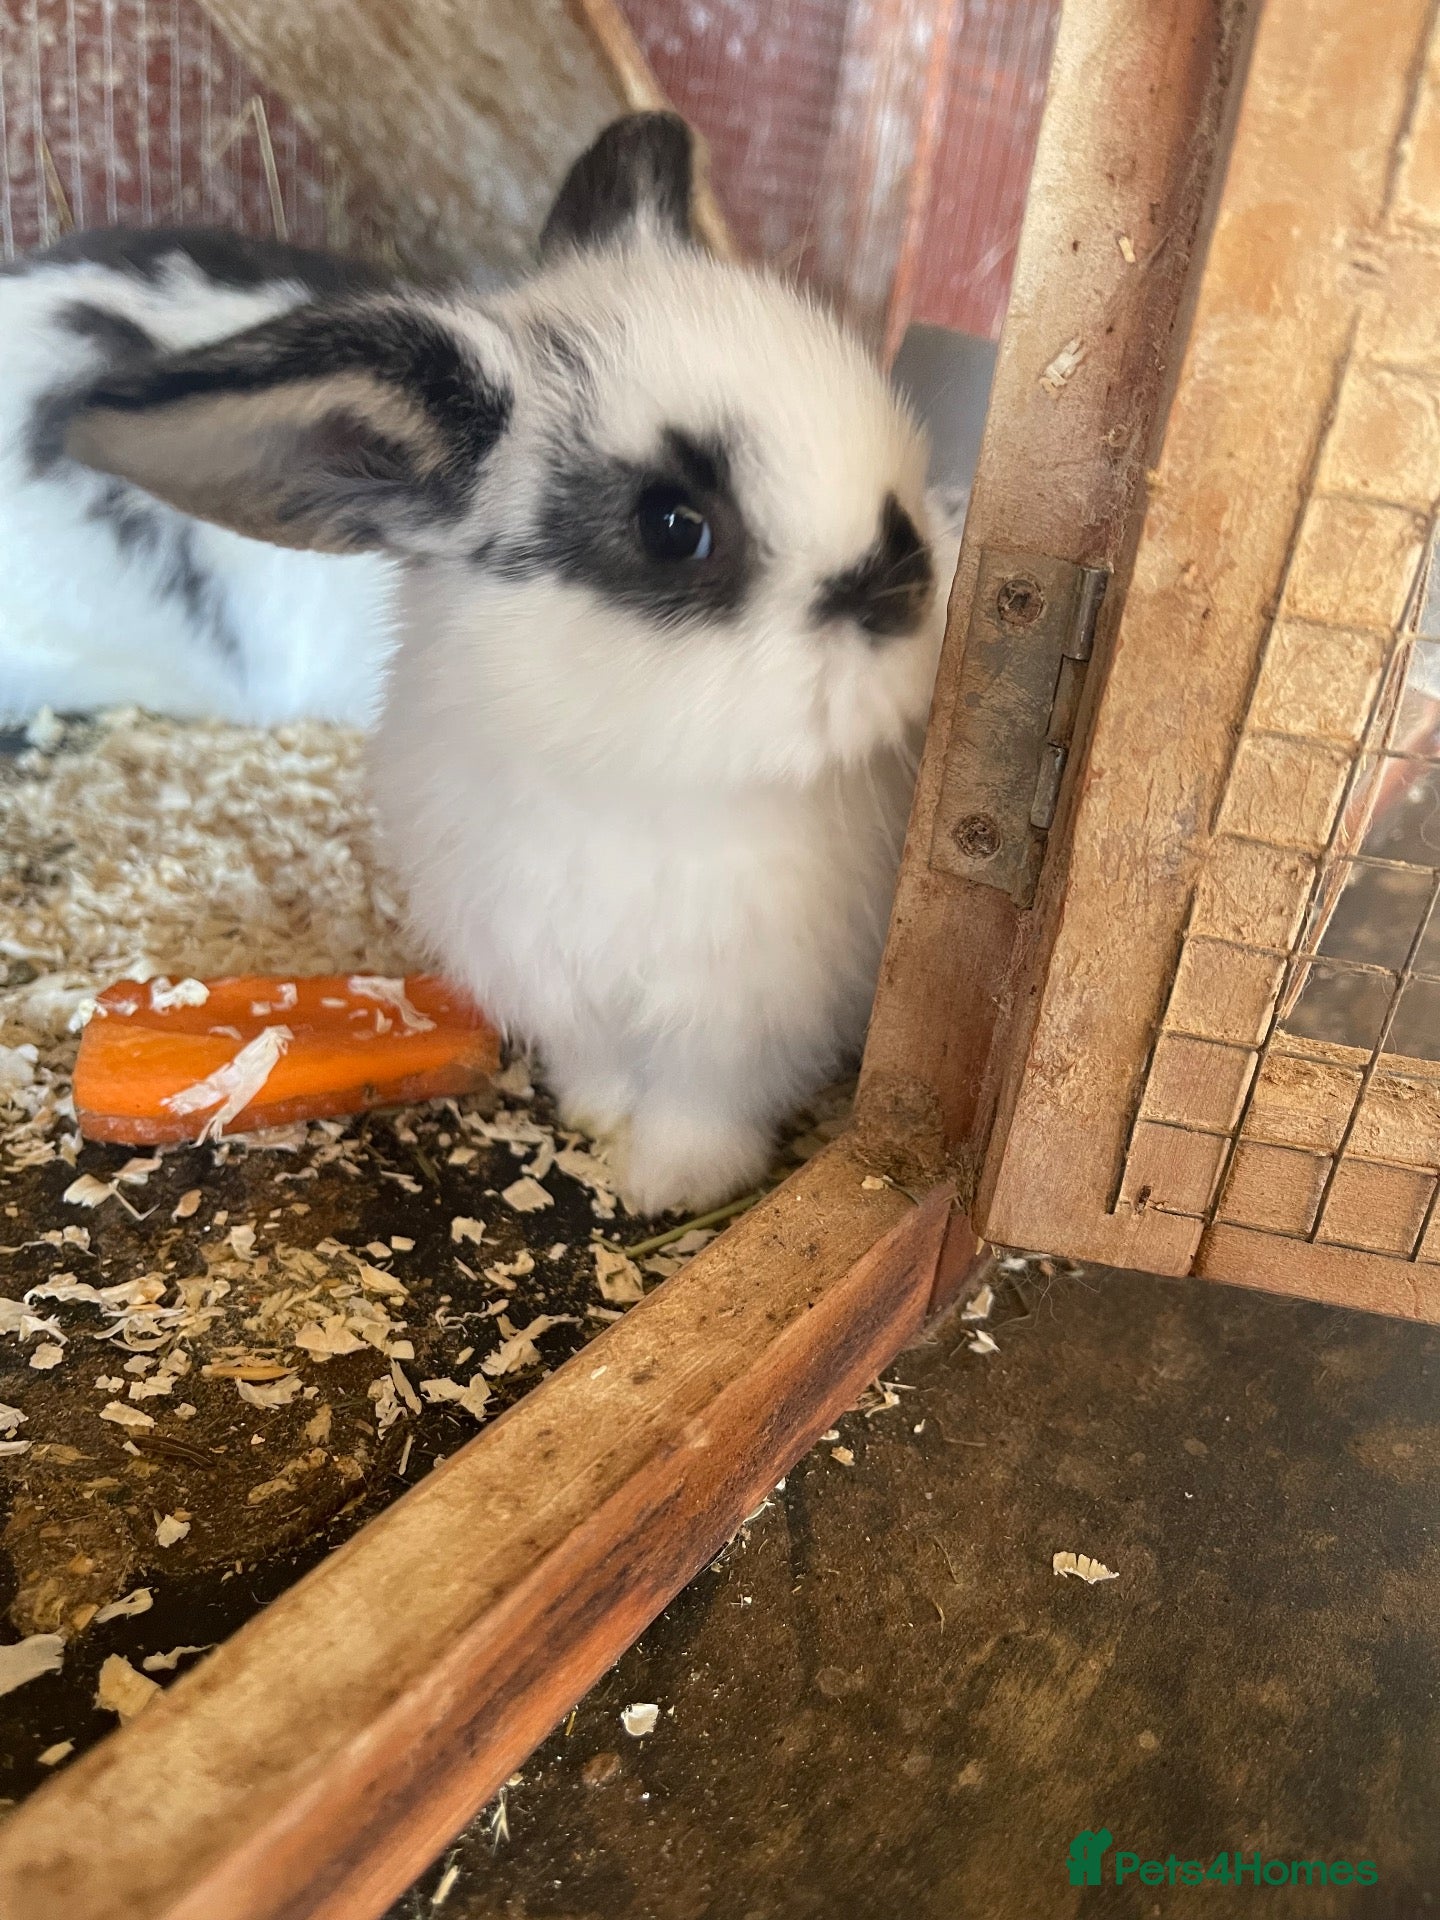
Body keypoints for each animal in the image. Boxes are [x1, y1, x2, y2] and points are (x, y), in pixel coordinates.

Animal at [57, 113, 958, 1215]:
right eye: (673, 526)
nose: (906, 595)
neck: (641, 785)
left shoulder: (739, 1029)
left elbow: (702, 1112)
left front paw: (669, 1188)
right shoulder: (560, 985)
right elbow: (607, 1072)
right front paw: (602, 1126)